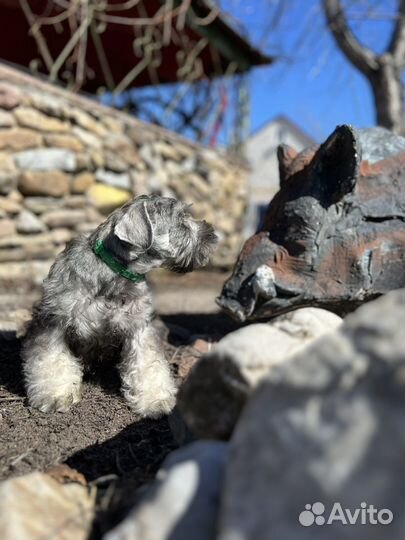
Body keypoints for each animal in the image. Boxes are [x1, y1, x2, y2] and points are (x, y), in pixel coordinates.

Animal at [21, 196, 218, 420]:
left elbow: (148, 364)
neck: (114, 273)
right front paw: (54, 395)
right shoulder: (54, 322)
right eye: (181, 221)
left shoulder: (139, 327)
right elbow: (51, 359)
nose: (212, 235)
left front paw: (155, 400)